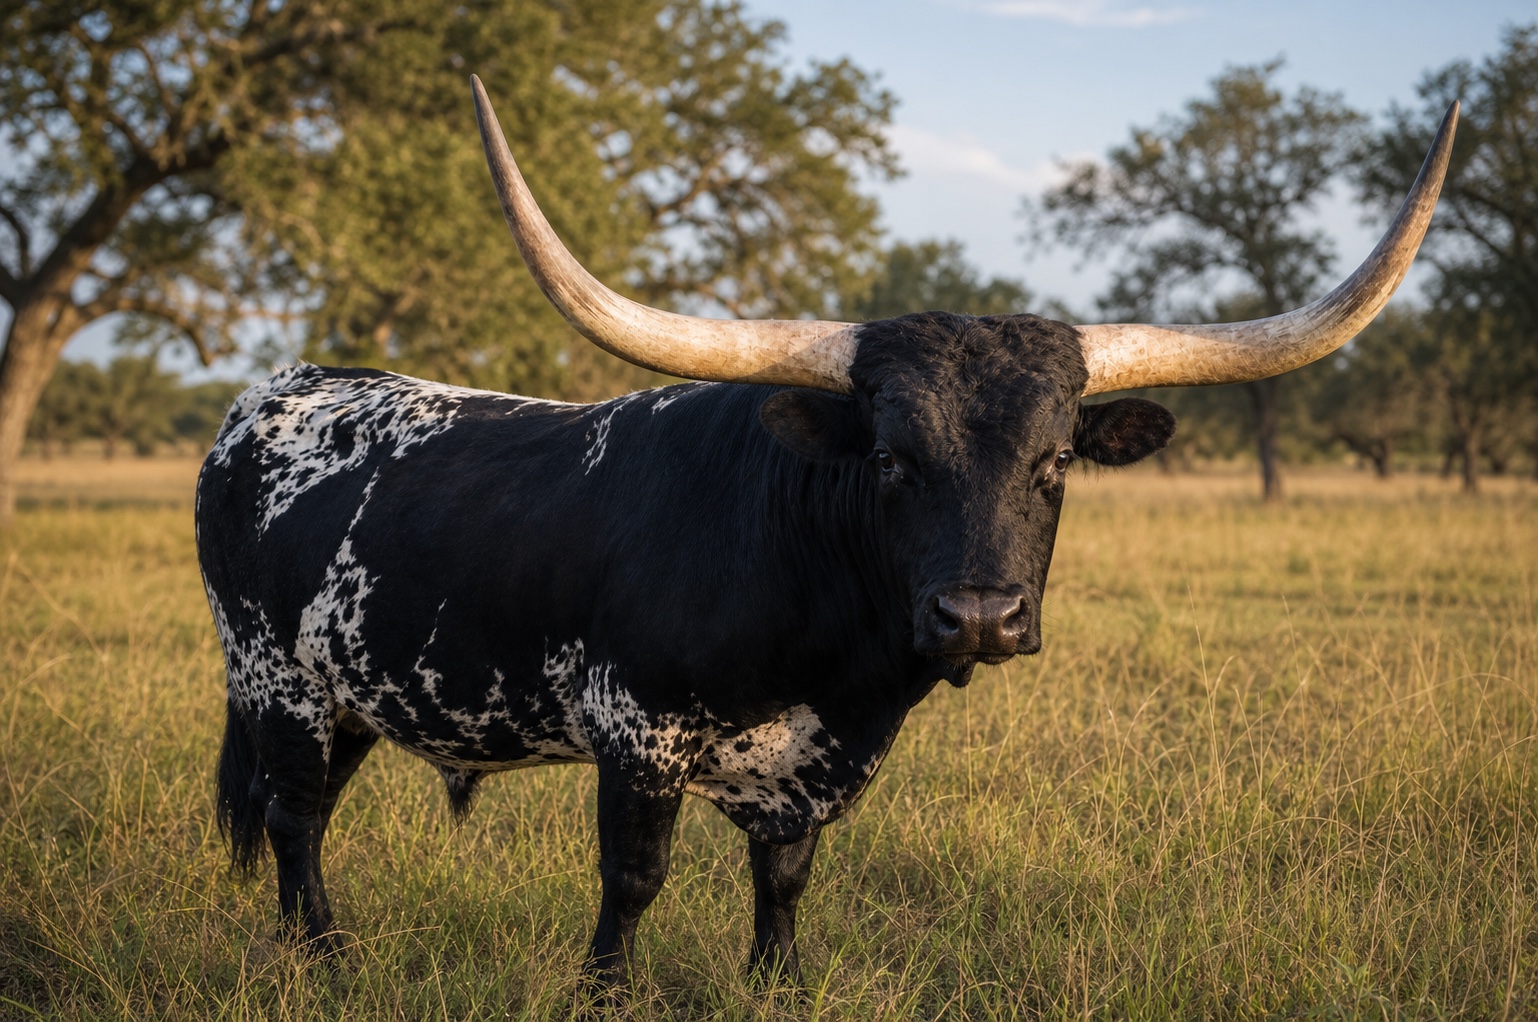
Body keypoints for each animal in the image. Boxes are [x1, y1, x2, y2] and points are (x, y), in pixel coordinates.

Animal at [197, 79, 1457, 992]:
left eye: (1053, 463)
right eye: (890, 458)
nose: (980, 614)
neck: (828, 655)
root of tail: (276, 392)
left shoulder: (819, 761)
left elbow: (786, 879)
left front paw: (774, 984)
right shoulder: (634, 735)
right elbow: (633, 880)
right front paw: (603, 991)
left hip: (348, 694)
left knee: (300, 810)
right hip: (275, 682)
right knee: (295, 817)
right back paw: (325, 960)